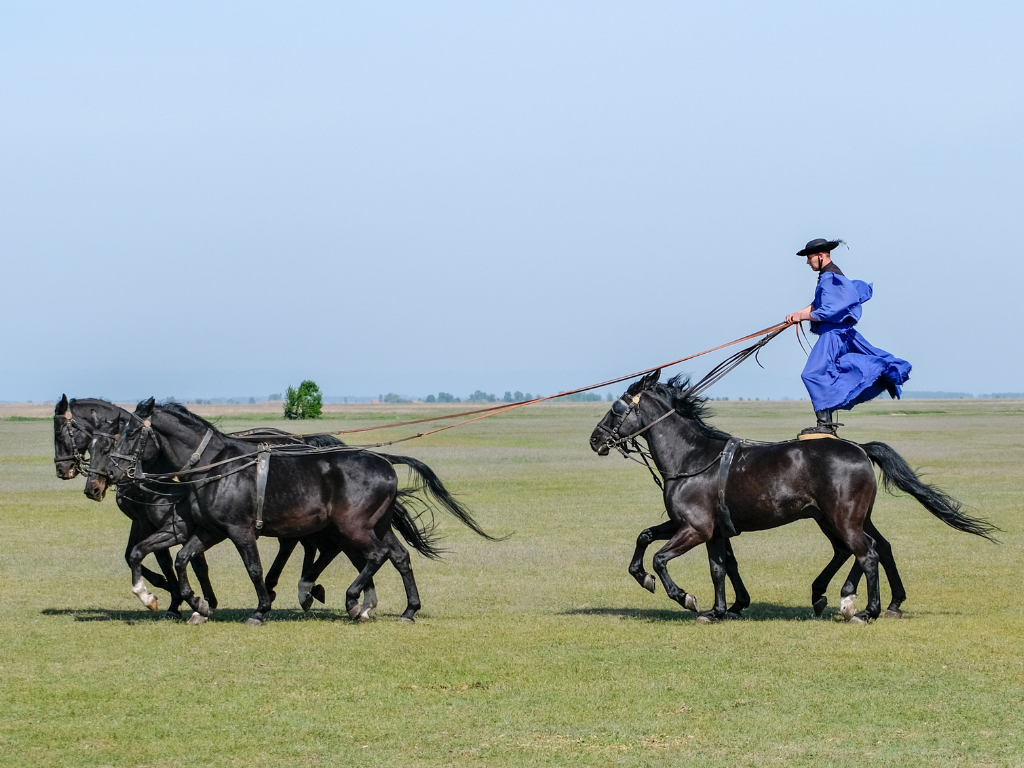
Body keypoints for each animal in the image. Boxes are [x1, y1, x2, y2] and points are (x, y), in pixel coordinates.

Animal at [92, 399, 500, 625]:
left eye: (130, 434)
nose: (110, 475)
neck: (215, 467)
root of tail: (384, 460)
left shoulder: (239, 531)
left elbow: (253, 569)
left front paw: (259, 610)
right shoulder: (205, 530)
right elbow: (168, 557)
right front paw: (181, 602)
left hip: (352, 528)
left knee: (376, 555)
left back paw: (354, 602)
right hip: (375, 525)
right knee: (398, 556)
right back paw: (407, 610)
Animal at [589, 371, 996, 623]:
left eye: (616, 408)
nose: (595, 440)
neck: (693, 458)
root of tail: (858, 447)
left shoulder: (696, 528)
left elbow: (661, 559)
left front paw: (684, 596)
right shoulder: (703, 528)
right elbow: (704, 561)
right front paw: (719, 609)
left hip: (842, 517)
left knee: (866, 553)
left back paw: (864, 609)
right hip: (837, 517)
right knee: (869, 548)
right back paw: (845, 597)